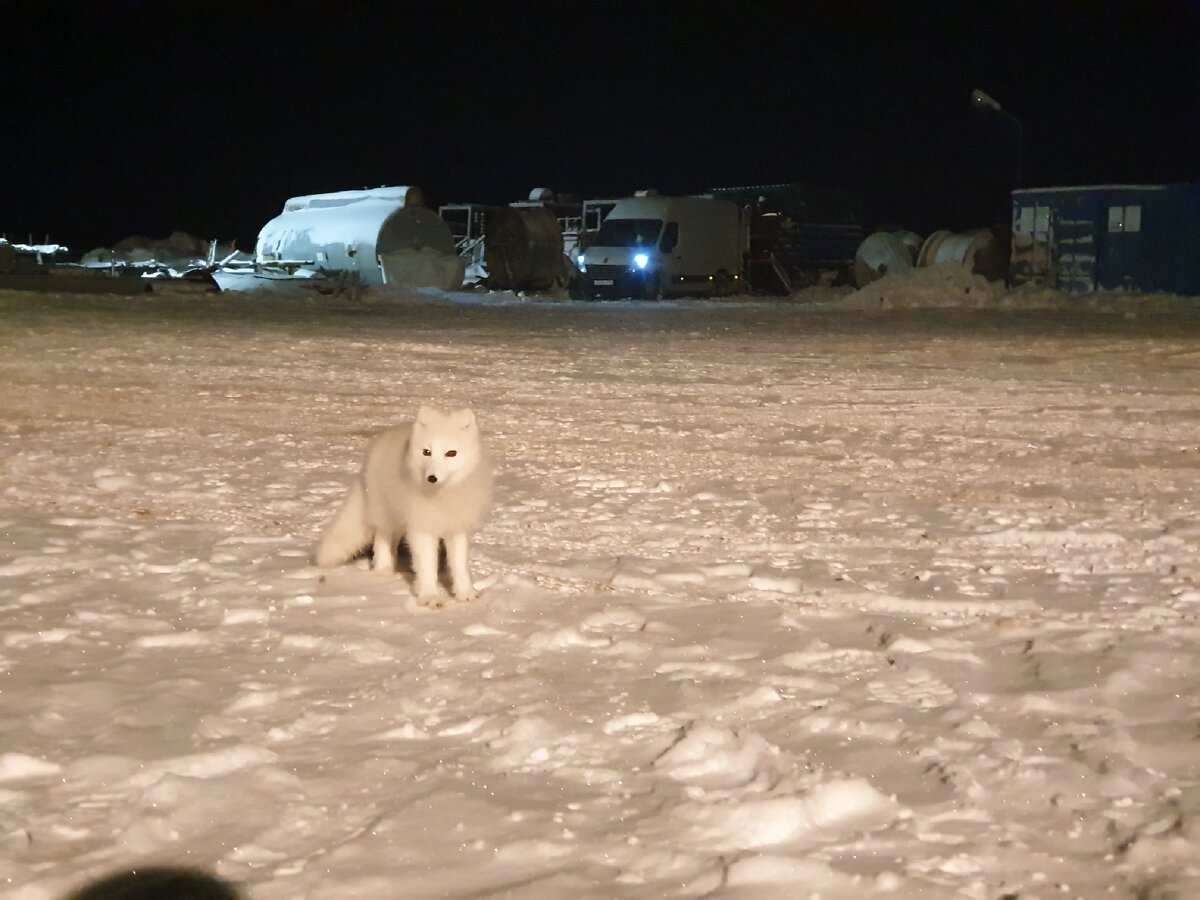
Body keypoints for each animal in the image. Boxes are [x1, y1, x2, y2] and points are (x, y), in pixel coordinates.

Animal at [316, 408, 494, 607]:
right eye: (426, 452)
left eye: (451, 453)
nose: (431, 478)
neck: (441, 497)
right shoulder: (421, 527)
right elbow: (426, 565)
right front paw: (429, 597)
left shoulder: (456, 527)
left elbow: (459, 564)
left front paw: (465, 593)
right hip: (385, 512)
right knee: (382, 537)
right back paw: (384, 568)